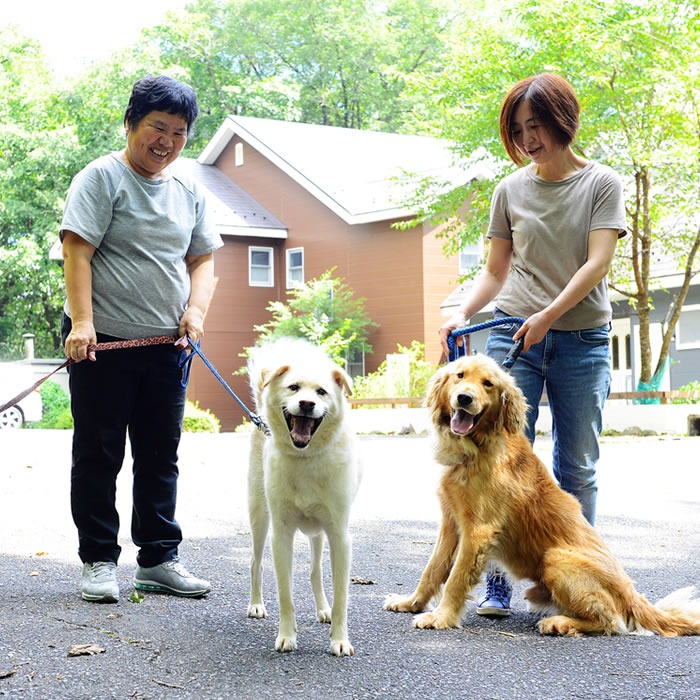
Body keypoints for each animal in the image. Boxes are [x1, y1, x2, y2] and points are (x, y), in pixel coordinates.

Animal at [246, 340, 364, 656]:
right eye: (294, 388)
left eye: (321, 392)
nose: (307, 404)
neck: (306, 458)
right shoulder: (281, 534)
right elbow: (285, 595)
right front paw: (287, 635)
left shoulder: (340, 536)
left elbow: (341, 598)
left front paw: (339, 639)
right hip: (260, 518)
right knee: (256, 563)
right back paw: (256, 604)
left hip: (319, 532)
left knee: (315, 571)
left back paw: (323, 608)